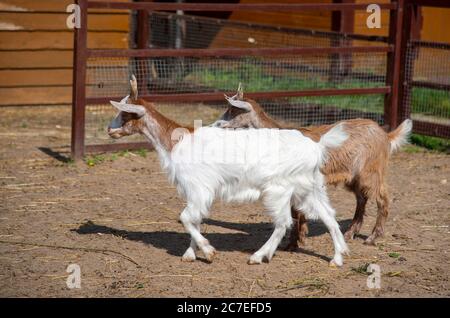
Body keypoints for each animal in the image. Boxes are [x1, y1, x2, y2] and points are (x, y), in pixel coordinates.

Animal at [216, 85, 414, 247]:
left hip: (371, 171)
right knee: (361, 199)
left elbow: (295, 212)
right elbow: (296, 211)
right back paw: (350, 233)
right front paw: (297, 239)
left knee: (382, 198)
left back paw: (372, 237)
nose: (216, 125)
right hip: (354, 176)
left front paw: (294, 242)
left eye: (232, 110)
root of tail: (385, 135)